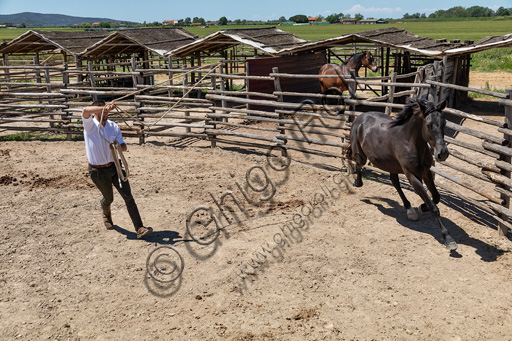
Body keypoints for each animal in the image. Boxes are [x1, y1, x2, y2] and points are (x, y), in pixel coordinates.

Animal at [348, 97, 456, 251]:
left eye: (444, 123)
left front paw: (422, 207)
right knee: (358, 164)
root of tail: (360, 117)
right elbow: (433, 207)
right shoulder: (412, 175)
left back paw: (410, 210)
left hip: (391, 164)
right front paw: (448, 239)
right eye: (428, 125)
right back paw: (358, 183)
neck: (410, 141)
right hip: (362, 154)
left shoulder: (426, 172)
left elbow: (435, 197)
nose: (442, 154)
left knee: (394, 181)